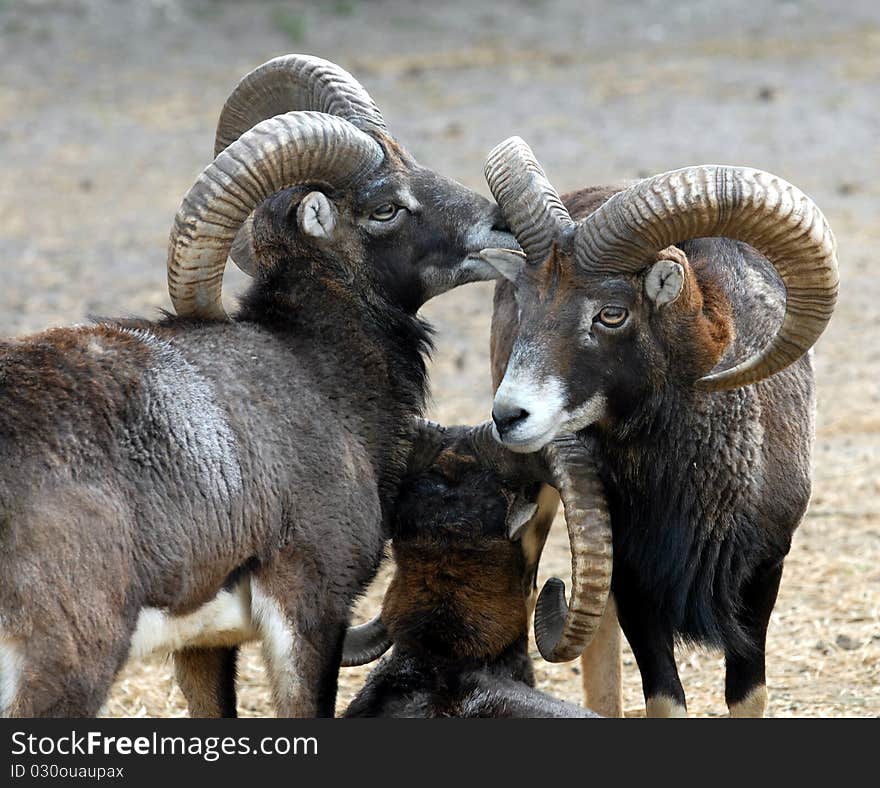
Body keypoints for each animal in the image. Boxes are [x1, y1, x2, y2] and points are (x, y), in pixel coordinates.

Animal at [482, 139, 840, 716]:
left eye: (611, 313)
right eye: (525, 302)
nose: (509, 416)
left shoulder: (762, 576)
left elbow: (748, 695)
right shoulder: (636, 584)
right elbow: (665, 699)